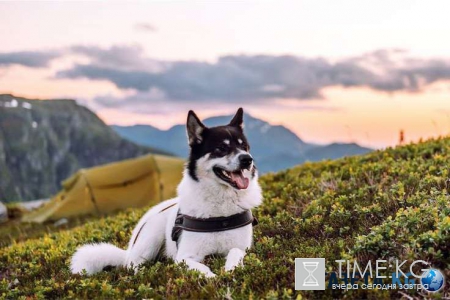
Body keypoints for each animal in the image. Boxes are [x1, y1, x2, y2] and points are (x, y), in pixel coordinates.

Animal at [69, 108, 260, 276]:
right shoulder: (185, 257)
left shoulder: (242, 248)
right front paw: (213, 279)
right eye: (221, 148)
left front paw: (230, 270)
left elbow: (235, 253)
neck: (221, 211)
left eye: (245, 146)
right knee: (131, 265)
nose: (247, 160)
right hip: (151, 236)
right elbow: (203, 269)